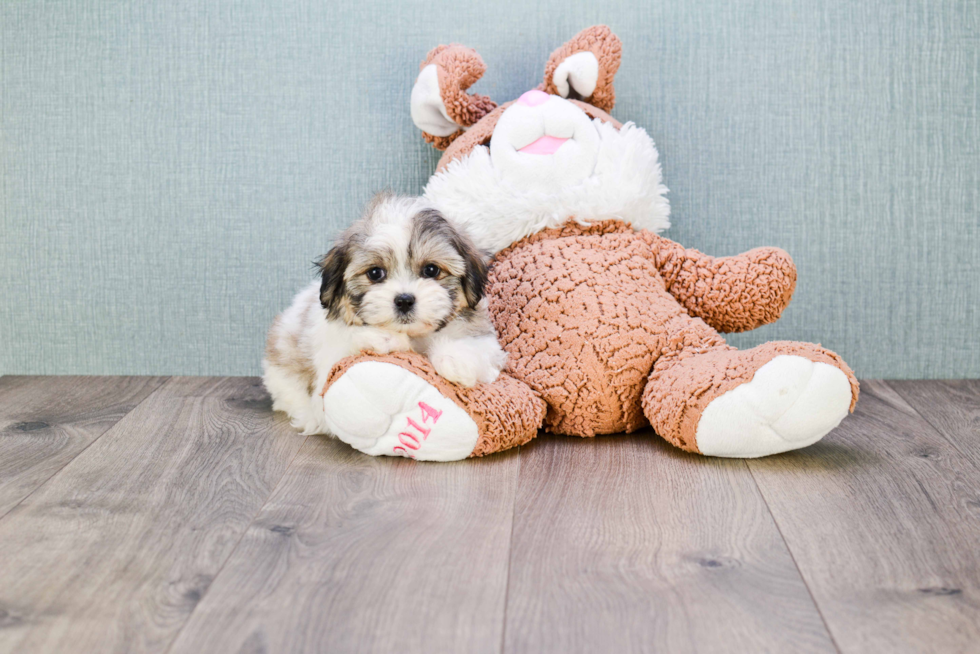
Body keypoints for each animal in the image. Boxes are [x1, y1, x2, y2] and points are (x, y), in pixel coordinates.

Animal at [262, 193, 506, 436]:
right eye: (375, 273)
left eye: (431, 270)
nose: (404, 300)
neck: (413, 336)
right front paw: (382, 337)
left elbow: (476, 345)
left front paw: (457, 359)